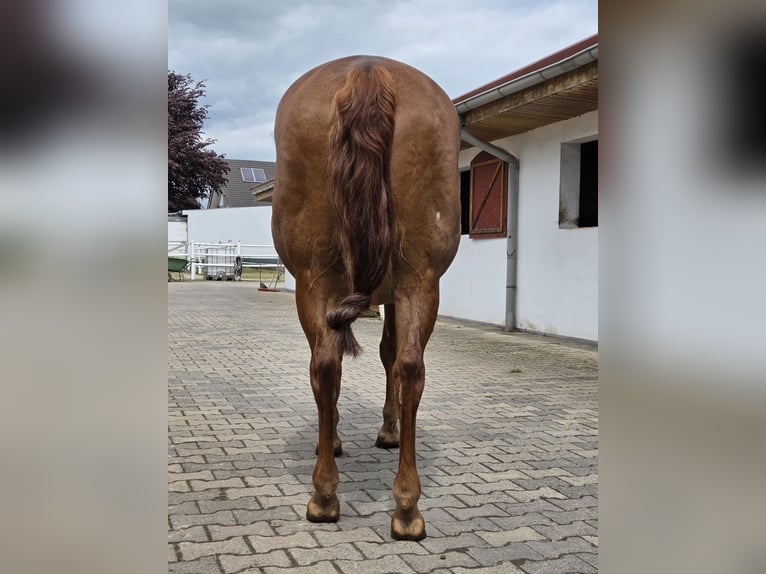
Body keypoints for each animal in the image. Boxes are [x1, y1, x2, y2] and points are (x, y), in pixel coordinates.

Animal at [271, 55, 460, 541]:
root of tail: (368, 69)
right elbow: (390, 355)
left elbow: (377, 354)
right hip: (419, 283)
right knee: (408, 366)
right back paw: (406, 507)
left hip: (317, 282)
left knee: (328, 363)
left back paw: (327, 495)